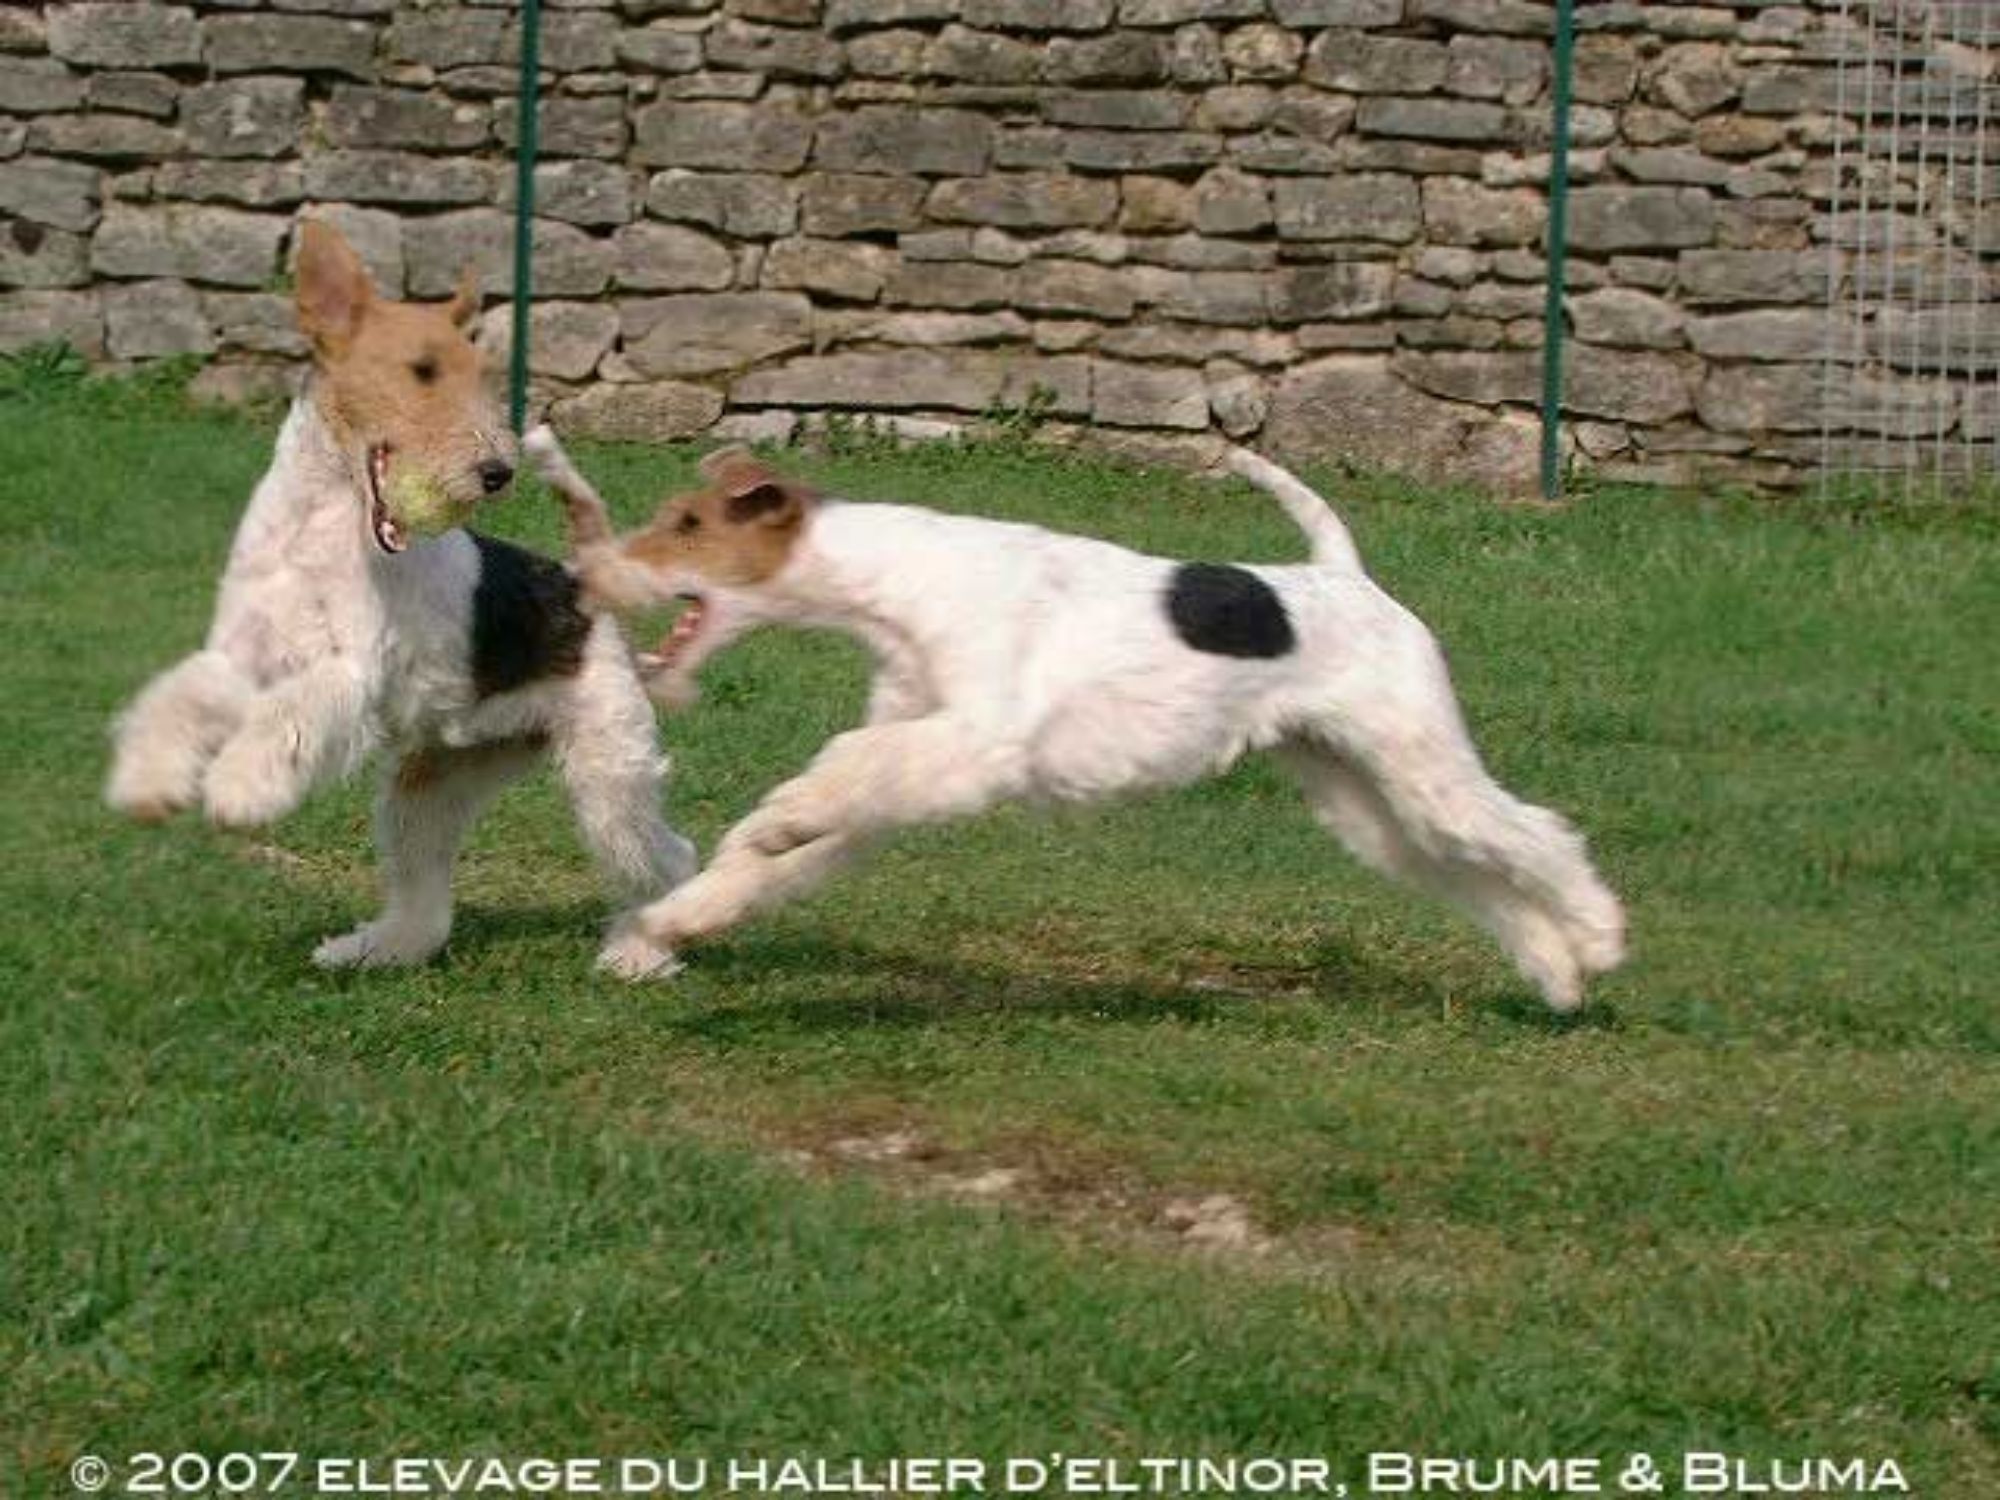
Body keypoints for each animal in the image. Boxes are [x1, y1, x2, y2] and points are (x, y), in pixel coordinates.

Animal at [105, 221, 697, 970]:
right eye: (421, 370)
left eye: (479, 373)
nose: (495, 472)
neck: (318, 524)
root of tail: (581, 584)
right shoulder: (240, 656)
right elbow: (177, 697)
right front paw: (145, 783)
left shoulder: (349, 670)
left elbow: (284, 719)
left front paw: (238, 791)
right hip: (435, 779)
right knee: (424, 898)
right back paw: (369, 950)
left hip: (607, 769)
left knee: (669, 857)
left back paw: (641, 953)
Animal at [523, 427, 1625, 1010]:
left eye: (688, 525)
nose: (587, 577)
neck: (895, 587)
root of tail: (1343, 576)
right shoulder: (907, 766)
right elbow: (786, 855)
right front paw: (667, 926)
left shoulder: (973, 744)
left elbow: (827, 780)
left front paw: (774, 821)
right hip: (1358, 795)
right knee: (1470, 872)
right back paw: (1557, 973)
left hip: (1416, 757)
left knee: (1535, 834)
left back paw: (1599, 940)